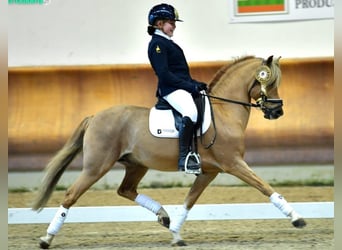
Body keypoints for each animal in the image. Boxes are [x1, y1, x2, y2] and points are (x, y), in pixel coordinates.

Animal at [33, 55, 306, 249]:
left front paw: (175, 233)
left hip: (136, 165)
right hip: (96, 166)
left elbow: (189, 201)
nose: (277, 112)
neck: (224, 113)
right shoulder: (233, 164)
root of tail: (94, 117)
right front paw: (296, 218)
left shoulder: (209, 172)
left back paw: (163, 216)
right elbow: (265, 187)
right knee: (71, 195)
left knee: (125, 190)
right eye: (269, 82)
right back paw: (46, 239)